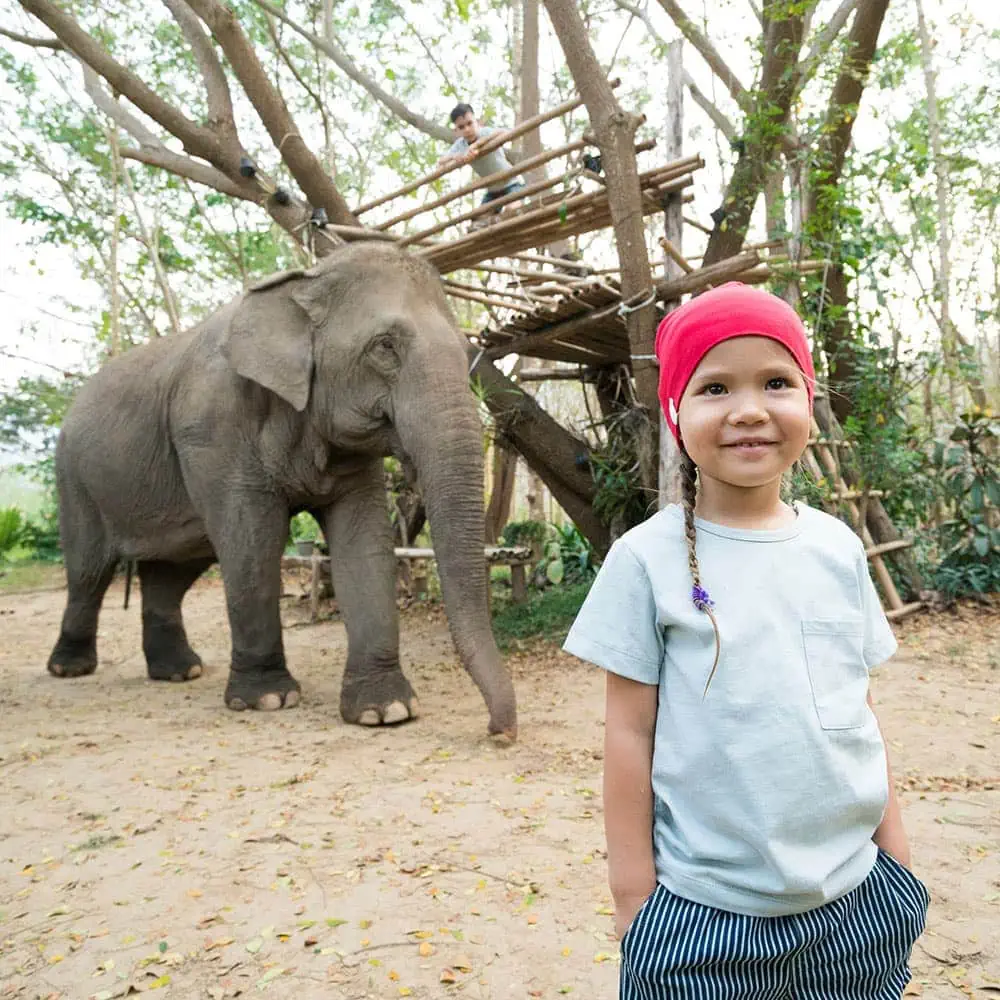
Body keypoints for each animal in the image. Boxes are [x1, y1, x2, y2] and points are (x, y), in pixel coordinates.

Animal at [46, 242, 517, 740]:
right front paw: (267, 700)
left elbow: (364, 544)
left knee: (172, 569)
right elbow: (253, 542)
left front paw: (385, 711)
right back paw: (70, 669)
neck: (303, 280)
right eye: (385, 347)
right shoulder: (215, 429)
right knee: (89, 569)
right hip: (74, 477)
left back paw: (179, 672)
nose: (498, 732)